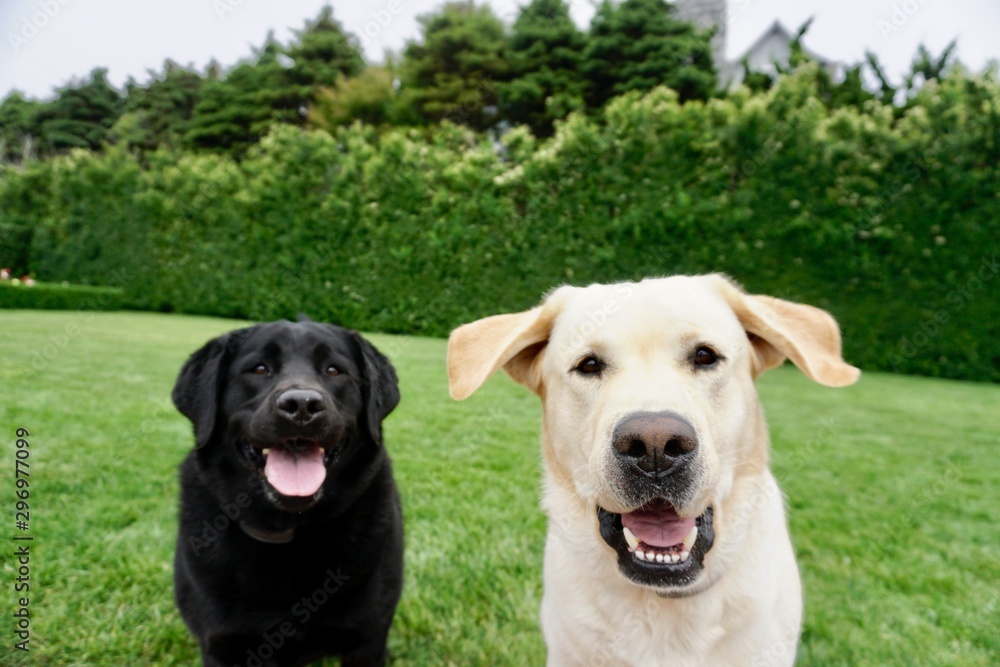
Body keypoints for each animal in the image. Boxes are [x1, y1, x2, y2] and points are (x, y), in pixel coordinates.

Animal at [172, 320, 402, 667]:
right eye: (259, 368)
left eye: (334, 370)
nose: (302, 406)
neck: (288, 529)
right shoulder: (220, 645)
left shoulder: (367, 640)